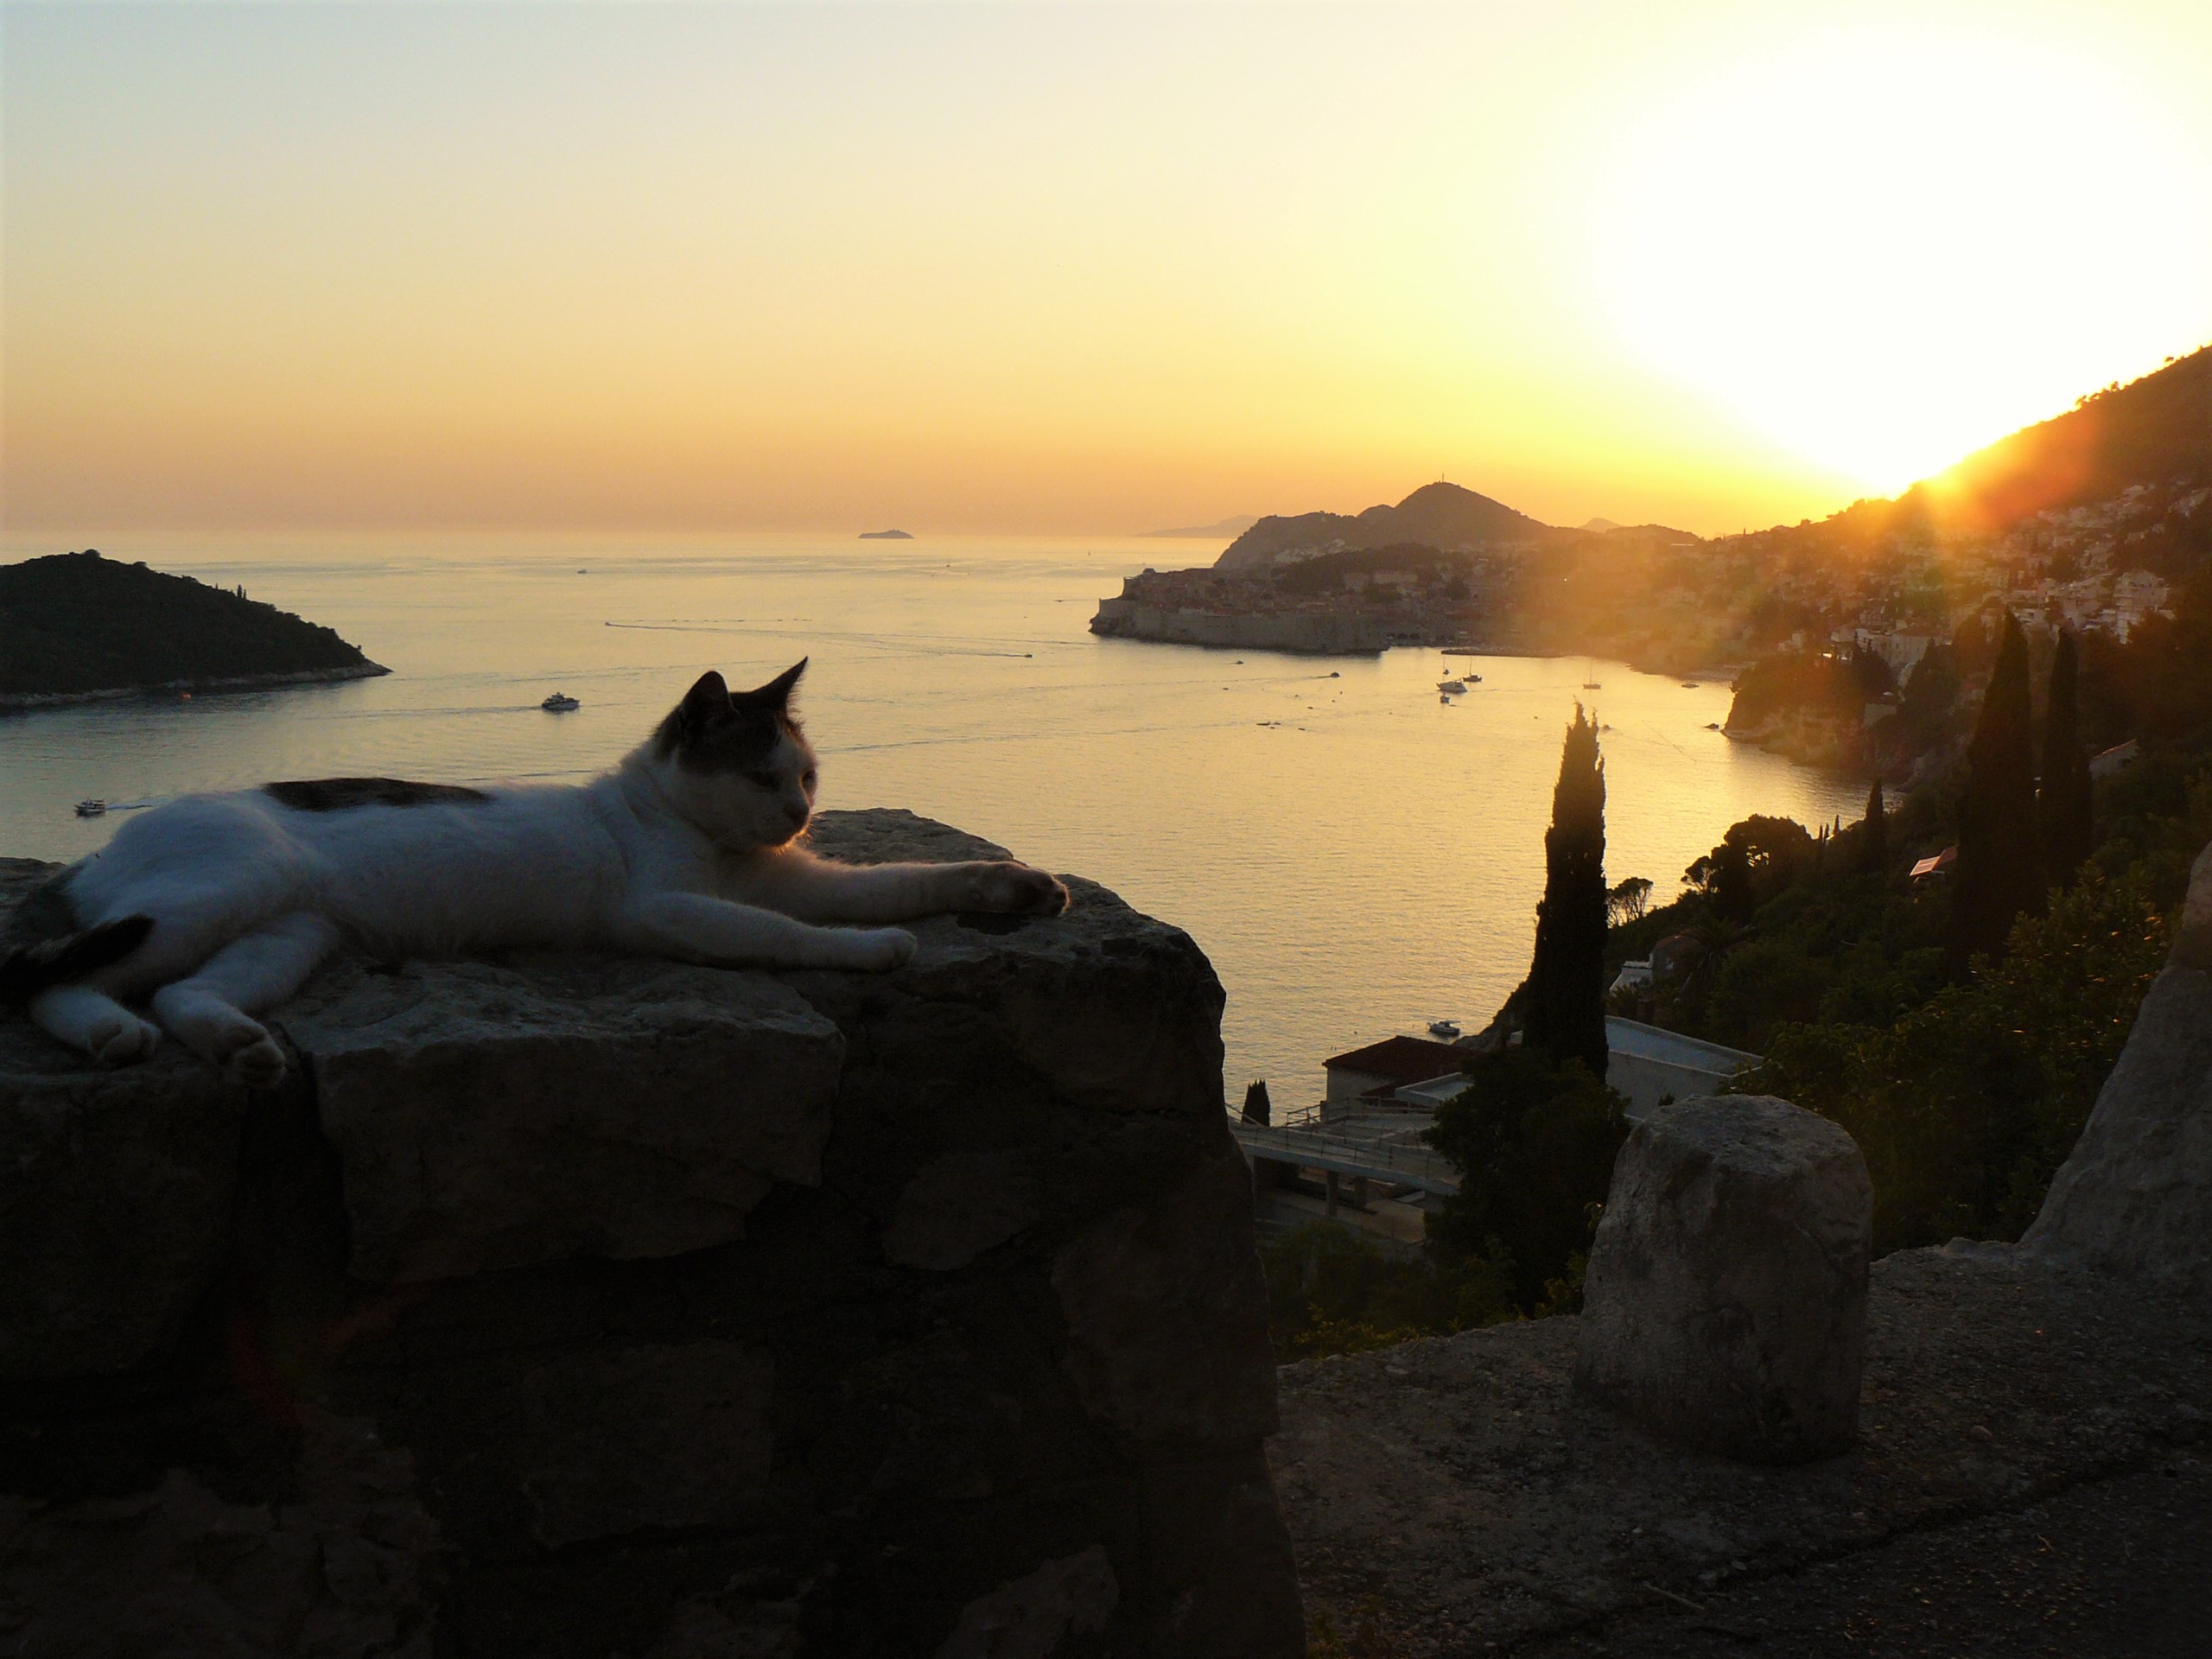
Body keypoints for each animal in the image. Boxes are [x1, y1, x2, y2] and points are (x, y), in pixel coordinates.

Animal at [0, 660, 1068, 1088]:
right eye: (762, 776)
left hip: (287, 935)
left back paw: (240, 1049)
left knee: (183, 994)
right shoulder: (663, 910)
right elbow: (787, 934)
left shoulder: (795, 877)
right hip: (225, 890)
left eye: (806, 777)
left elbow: (914, 875)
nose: (799, 815)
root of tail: (100, 849)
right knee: (54, 984)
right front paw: (875, 948)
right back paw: (111, 1037)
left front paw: (1015, 886)